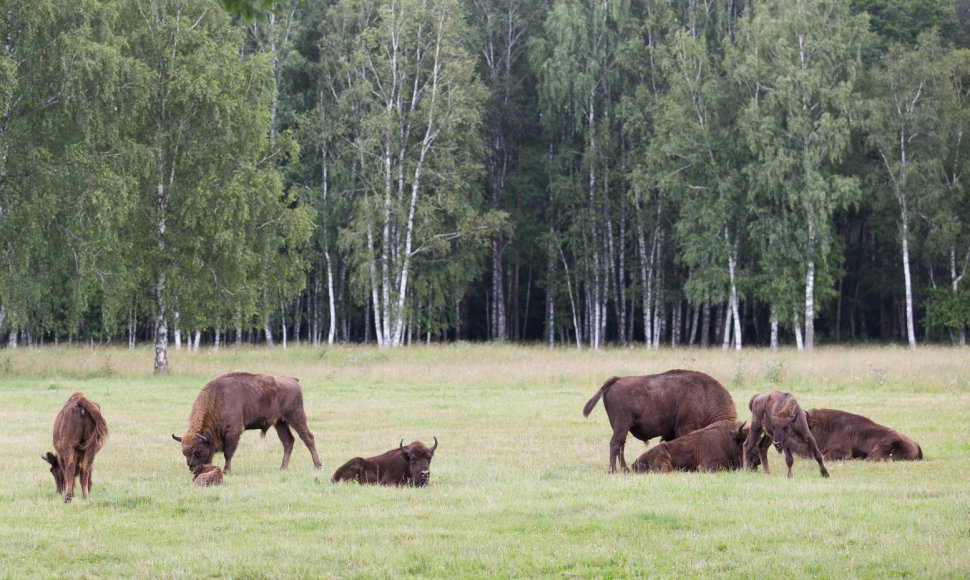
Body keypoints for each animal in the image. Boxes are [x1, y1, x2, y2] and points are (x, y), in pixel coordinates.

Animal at [172, 372, 324, 476]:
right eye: (184, 452)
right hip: (280, 422)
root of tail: (293, 380)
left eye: (198, 451)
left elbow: (228, 453)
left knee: (308, 437)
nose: (192, 470)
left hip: (295, 416)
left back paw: (318, 465)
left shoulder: (233, 432)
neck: (217, 399)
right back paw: (283, 468)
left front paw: (226, 470)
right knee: (288, 441)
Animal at [584, 370, 732, 474]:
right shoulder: (685, 428)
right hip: (622, 424)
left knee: (621, 445)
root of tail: (617, 380)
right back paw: (613, 471)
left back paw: (625, 470)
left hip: (620, 427)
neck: (703, 397)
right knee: (615, 444)